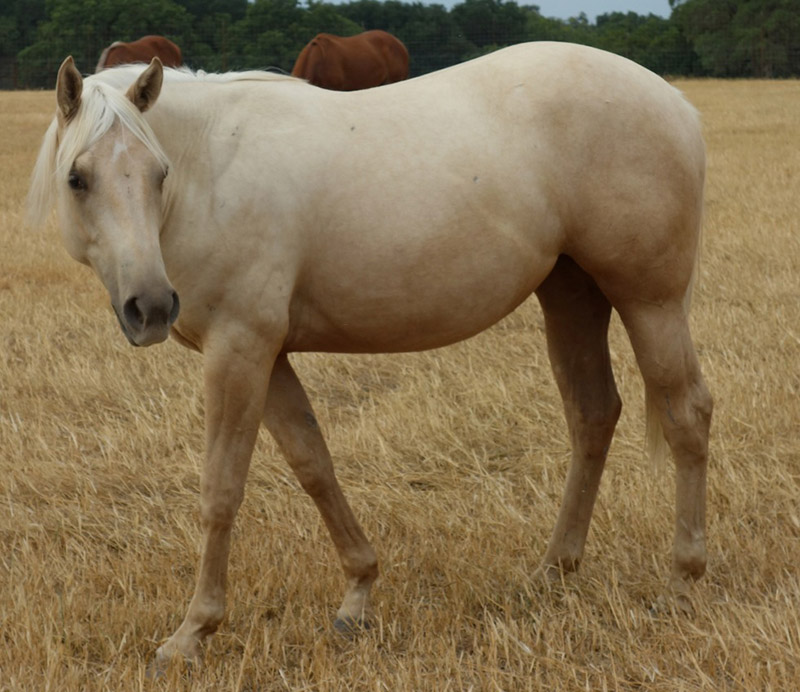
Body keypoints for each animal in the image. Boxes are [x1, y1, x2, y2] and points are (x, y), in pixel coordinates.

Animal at [28, 44, 708, 672]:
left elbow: (220, 490)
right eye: (77, 178)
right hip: (571, 293)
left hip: (649, 301)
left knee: (686, 416)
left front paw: (192, 633)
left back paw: (682, 581)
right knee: (592, 414)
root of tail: (676, 104)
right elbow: (313, 465)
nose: (150, 306)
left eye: (159, 173)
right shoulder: (270, 355)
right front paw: (358, 594)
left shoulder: (239, 350)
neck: (212, 168)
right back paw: (553, 570)